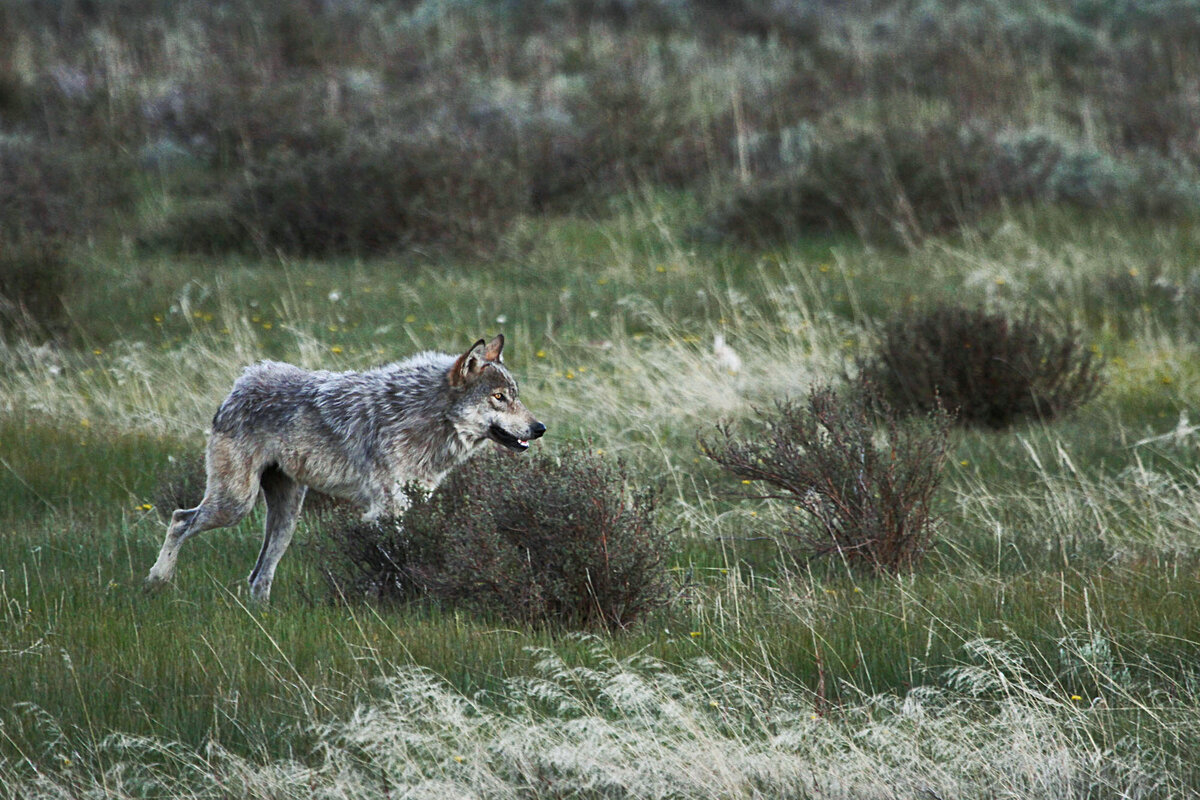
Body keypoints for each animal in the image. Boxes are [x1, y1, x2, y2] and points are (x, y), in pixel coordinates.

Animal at [144, 335, 549, 604]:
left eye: (515, 396)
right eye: (499, 397)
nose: (540, 428)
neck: (427, 417)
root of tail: (243, 380)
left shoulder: (411, 504)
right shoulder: (387, 509)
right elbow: (393, 558)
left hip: (286, 518)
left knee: (258, 574)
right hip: (235, 505)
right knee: (180, 519)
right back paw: (158, 579)